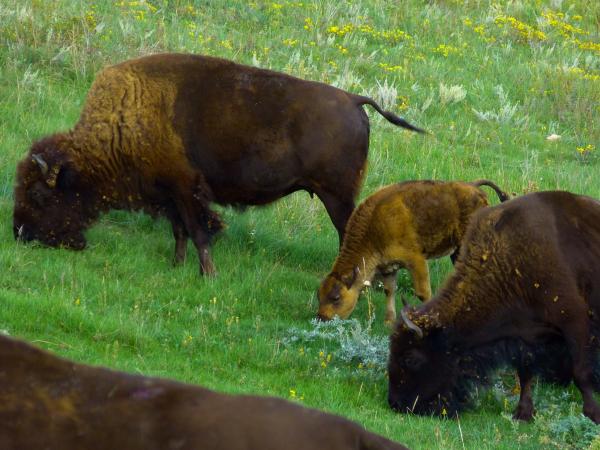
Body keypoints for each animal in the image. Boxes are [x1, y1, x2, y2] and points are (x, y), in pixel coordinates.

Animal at [9, 54, 422, 276]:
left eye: (38, 195)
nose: (20, 234)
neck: (126, 120)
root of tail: (354, 100)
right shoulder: (170, 192)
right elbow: (180, 231)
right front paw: (177, 266)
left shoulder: (185, 189)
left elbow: (198, 231)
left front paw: (208, 274)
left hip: (336, 196)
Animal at [316, 179, 508, 324]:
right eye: (319, 296)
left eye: (335, 298)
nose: (321, 318)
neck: (374, 225)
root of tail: (475, 188)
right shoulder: (388, 266)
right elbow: (389, 290)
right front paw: (389, 321)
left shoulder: (415, 260)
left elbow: (423, 293)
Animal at [386, 192, 600, 424]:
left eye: (410, 358)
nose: (395, 403)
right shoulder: (525, 336)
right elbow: (525, 374)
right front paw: (523, 413)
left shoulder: (574, 320)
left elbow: (580, 372)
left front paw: (593, 413)